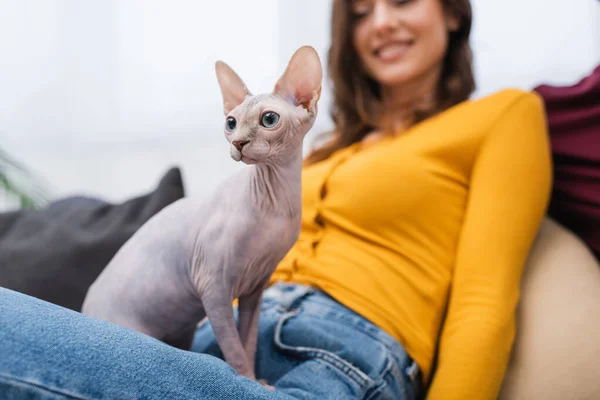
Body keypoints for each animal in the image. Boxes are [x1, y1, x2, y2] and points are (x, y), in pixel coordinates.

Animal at [83, 45, 324, 382]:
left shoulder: (254, 290)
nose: (238, 143)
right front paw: (247, 380)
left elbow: (248, 341)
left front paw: (256, 380)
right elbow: (234, 348)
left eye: (269, 119)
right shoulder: (214, 288)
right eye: (231, 123)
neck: (274, 204)